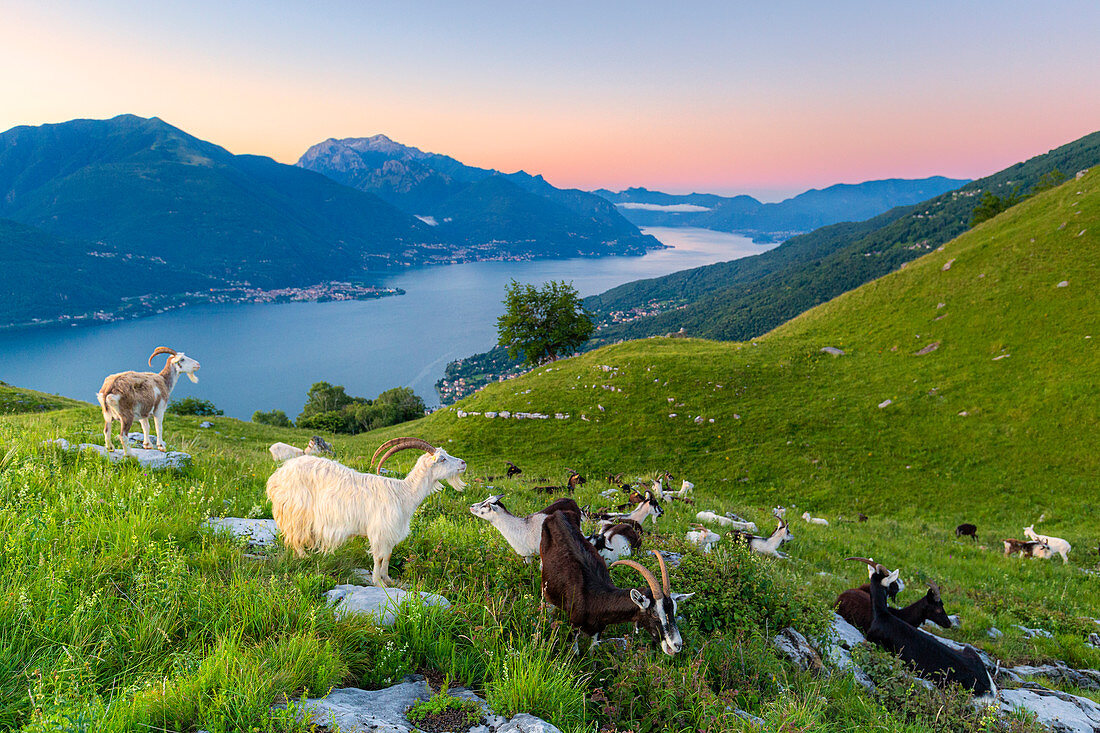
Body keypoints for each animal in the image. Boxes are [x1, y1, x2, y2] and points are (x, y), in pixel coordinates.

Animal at [270, 435, 468, 585]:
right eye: (442, 459)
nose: (463, 463)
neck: (403, 493)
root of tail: (279, 475)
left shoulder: (390, 533)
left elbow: (387, 556)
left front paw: (388, 579)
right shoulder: (379, 530)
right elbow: (379, 557)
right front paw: (377, 582)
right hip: (296, 511)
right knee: (295, 537)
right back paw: (304, 557)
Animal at [539, 508, 690, 655]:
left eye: (673, 610)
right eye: (654, 613)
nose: (677, 645)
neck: (594, 597)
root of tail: (557, 514)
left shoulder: (598, 631)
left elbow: (592, 654)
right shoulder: (574, 625)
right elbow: (574, 654)